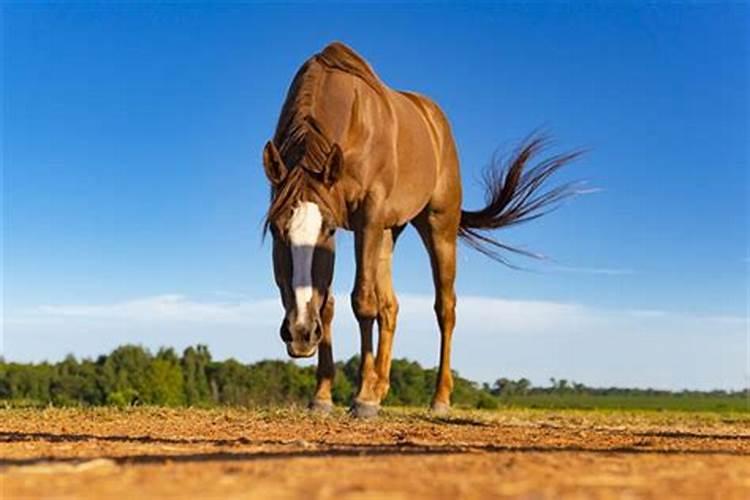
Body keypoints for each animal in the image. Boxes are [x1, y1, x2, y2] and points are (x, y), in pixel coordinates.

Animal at [262, 42, 580, 418]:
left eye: (326, 230)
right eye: (277, 231)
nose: (300, 333)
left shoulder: (366, 217)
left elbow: (362, 302)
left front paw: (362, 398)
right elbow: (330, 303)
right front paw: (324, 396)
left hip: (437, 226)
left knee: (445, 308)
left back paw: (437, 398)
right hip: (388, 231)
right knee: (390, 306)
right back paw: (380, 387)